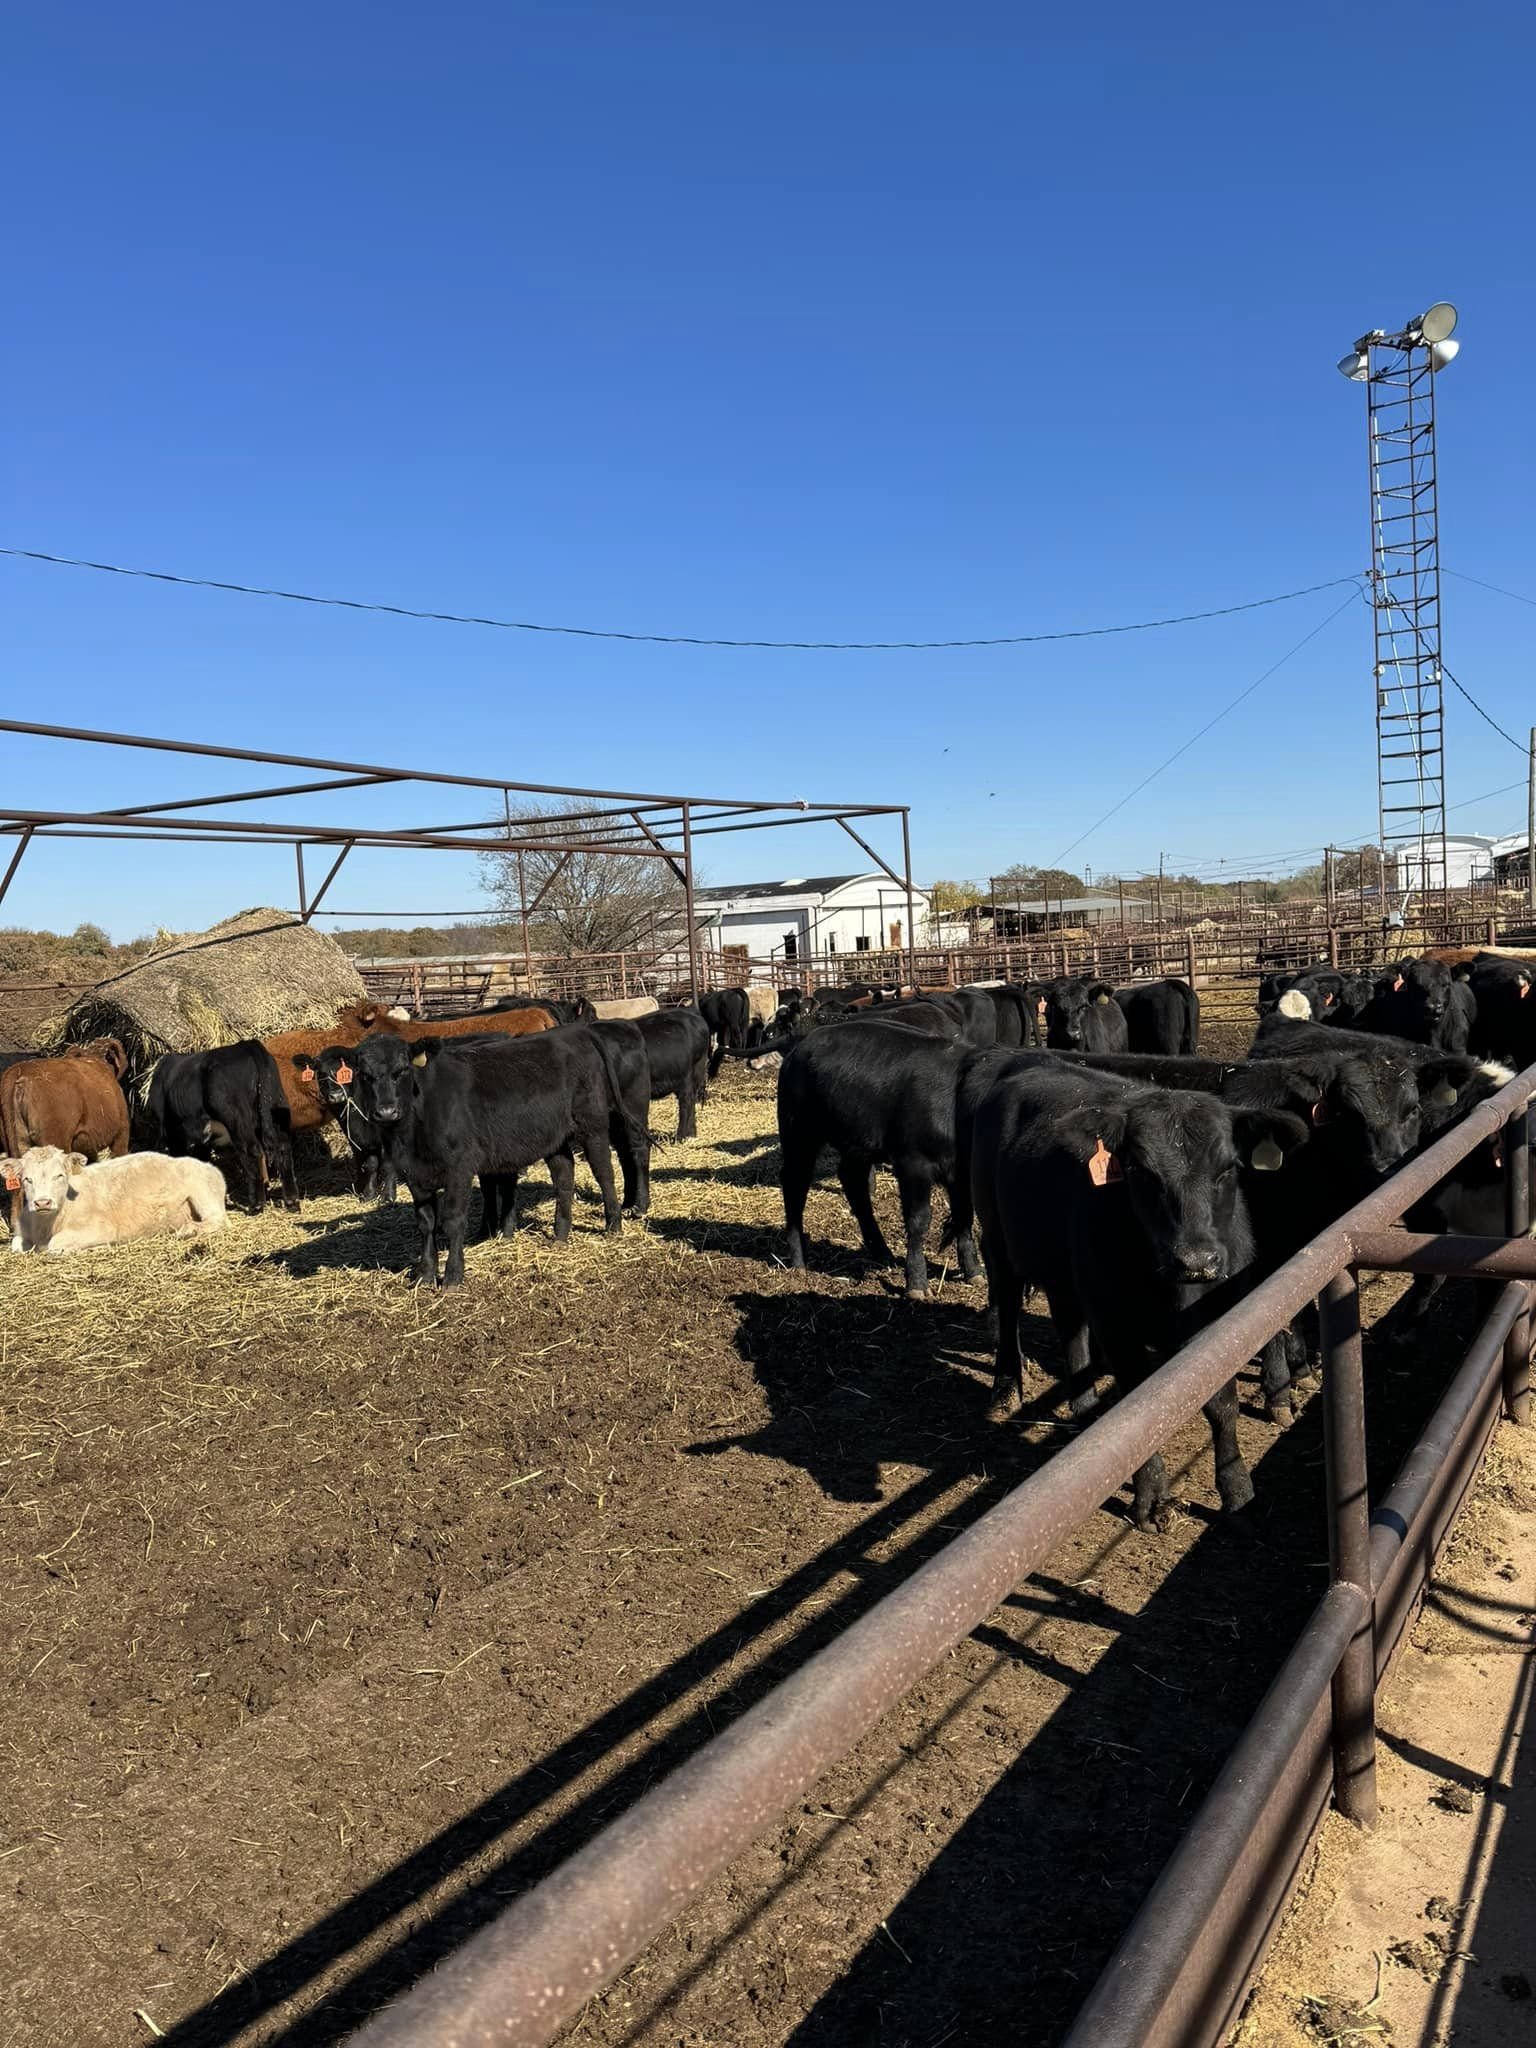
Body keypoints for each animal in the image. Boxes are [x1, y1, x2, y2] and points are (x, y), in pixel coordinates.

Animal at [1, 1146, 228, 1253]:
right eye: (26, 1179)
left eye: (60, 1175)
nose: (42, 1203)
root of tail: (209, 1166)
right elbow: (16, 1244)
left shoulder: (100, 1228)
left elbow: (56, 1245)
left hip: (202, 1192)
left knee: (218, 1220)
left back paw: (189, 1230)